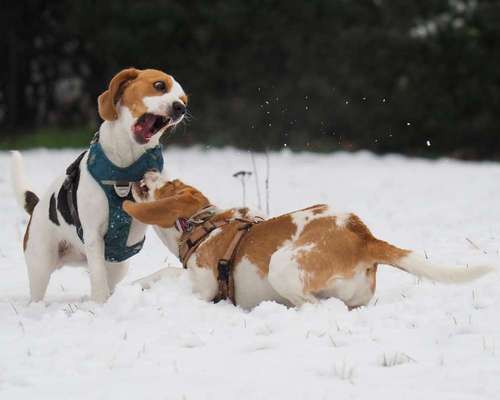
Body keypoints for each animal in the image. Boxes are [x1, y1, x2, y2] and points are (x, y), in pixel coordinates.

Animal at [11, 68, 188, 304]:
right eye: (159, 85)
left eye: (184, 99)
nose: (180, 108)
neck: (125, 167)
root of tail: (37, 207)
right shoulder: (93, 234)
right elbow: (97, 277)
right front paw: (98, 304)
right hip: (41, 261)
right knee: (40, 291)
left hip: (118, 265)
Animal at [124, 172, 492, 310]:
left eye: (168, 183)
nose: (145, 173)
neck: (204, 225)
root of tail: (362, 236)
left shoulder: (204, 287)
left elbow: (172, 275)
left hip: (282, 267)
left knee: (313, 306)